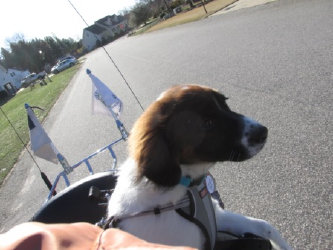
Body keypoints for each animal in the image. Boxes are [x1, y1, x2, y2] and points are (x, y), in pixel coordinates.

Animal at [107, 85, 290, 249]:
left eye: (225, 104)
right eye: (208, 123)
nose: (263, 132)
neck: (187, 190)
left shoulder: (217, 218)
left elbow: (265, 226)